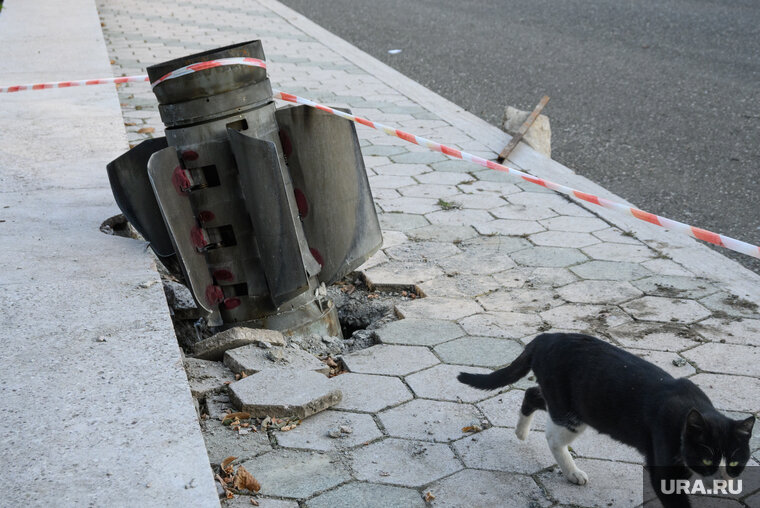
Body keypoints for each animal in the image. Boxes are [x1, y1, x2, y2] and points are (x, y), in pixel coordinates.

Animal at [458, 332, 756, 506]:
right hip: (572, 411)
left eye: (734, 462)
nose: (722, 480)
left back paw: (521, 432)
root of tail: (547, 336)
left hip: (573, 403)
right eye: (706, 458)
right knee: (553, 436)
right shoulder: (662, 467)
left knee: (532, 394)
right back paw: (572, 472)